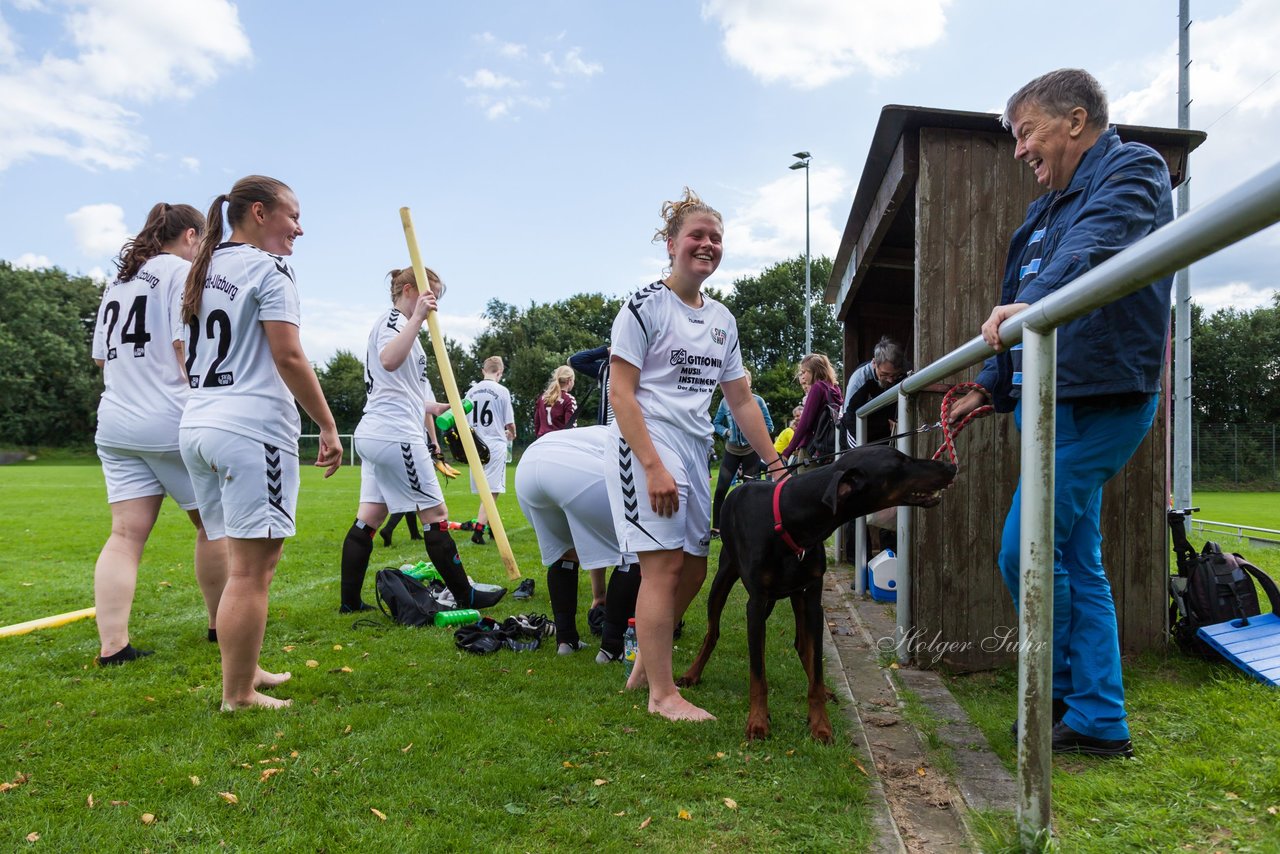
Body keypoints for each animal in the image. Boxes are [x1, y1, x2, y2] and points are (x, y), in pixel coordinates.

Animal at [675, 445, 957, 742]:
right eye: (900, 461)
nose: (950, 466)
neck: (791, 520)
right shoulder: (757, 602)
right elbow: (758, 673)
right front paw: (758, 722)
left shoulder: (813, 599)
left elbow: (817, 667)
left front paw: (820, 724)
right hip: (722, 578)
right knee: (713, 632)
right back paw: (692, 674)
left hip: (798, 596)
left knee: (803, 645)